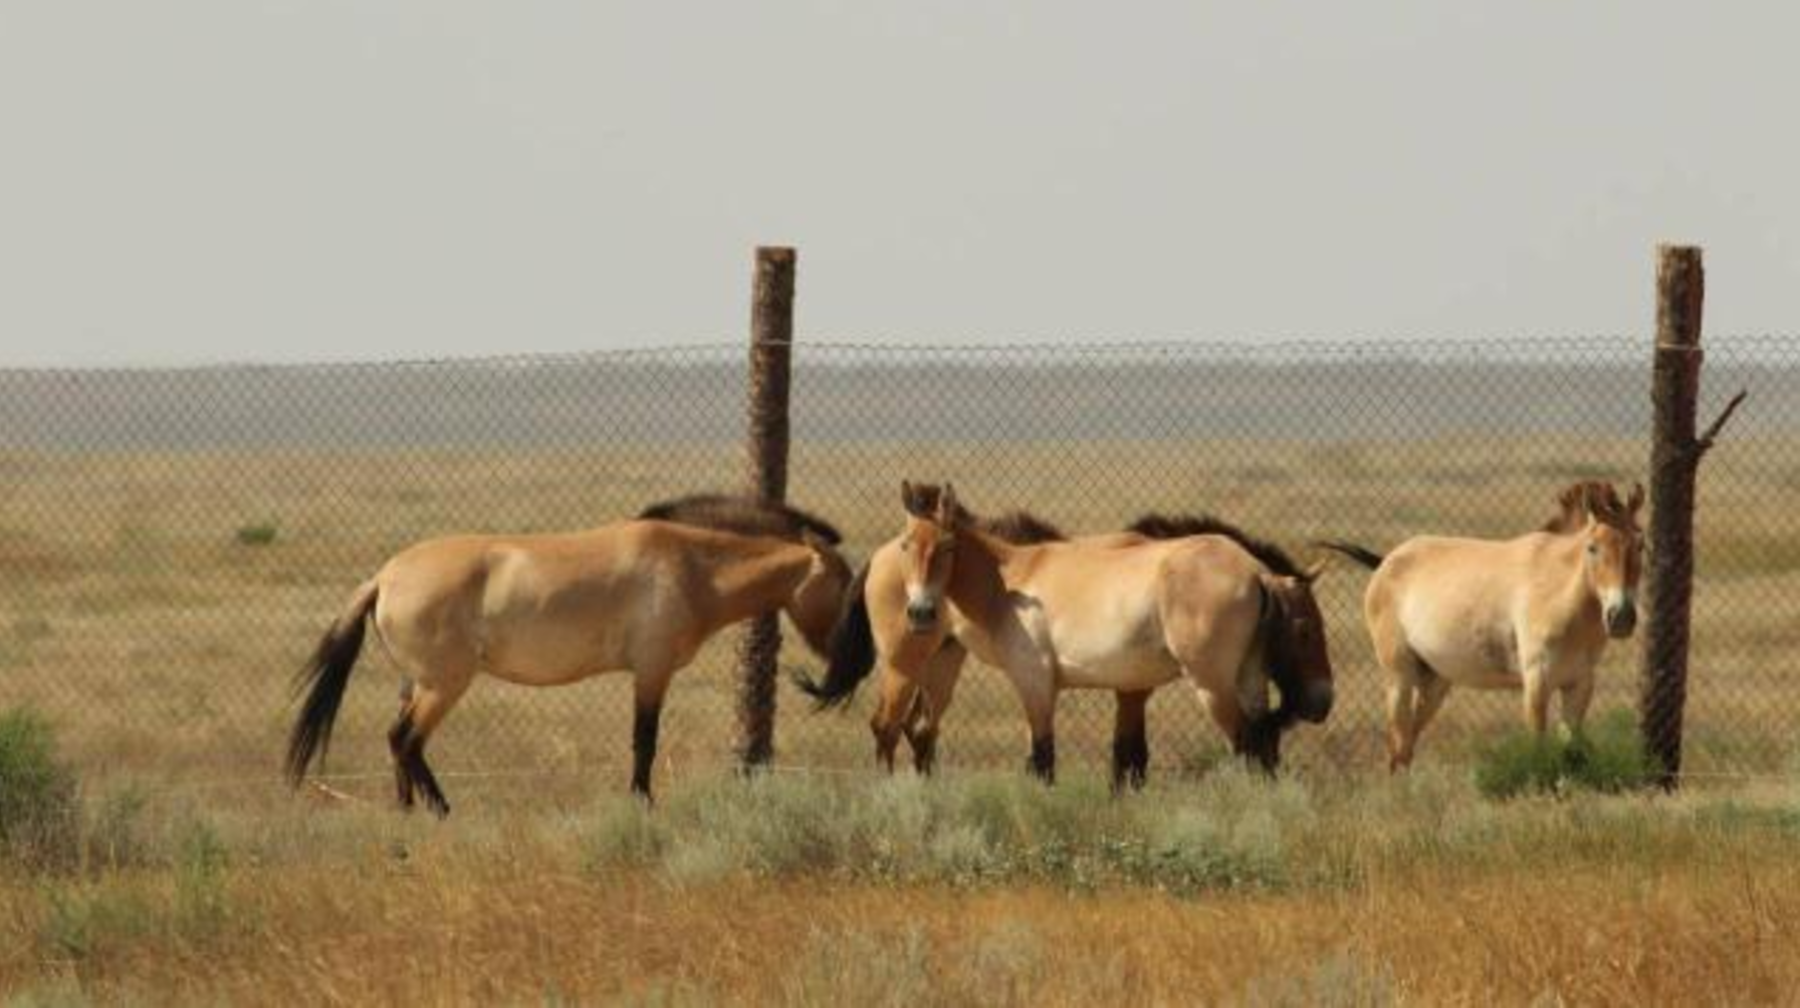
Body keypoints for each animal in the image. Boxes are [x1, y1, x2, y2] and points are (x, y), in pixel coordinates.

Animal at [284, 493, 853, 813]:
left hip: (417, 683)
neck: (690, 565)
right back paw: (444, 812)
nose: (841, 677)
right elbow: (644, 743)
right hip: (444, 685)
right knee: (407, 740)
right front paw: (642, 805)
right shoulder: (652, 672)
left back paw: (407, 815)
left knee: (398, 742)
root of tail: (383, 577)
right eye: (846, 585)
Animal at [802, 486, 1339, 784]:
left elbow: (1063, 762)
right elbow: (1073, 761)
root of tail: (1254, 573)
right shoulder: (1054, 688)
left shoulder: (1044, 686)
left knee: (1254, 743)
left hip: (1215, 686)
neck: (1009, 580)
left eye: (947, 547)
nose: (919, 610)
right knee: (896, 728)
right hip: (917, 662)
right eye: (910, 547)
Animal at [1324, 478, 1648, 770]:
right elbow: (1538, 747)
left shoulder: (1579, 684)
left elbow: (1572, 752)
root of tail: (1385, 562)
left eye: (1641, 545)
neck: (1557, 591)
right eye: (1592, 548)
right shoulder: (1537, 681)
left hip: (1435, 682)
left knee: (1406, 747)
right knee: (1397, 745)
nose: (1621, 617)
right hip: (1399, 677)